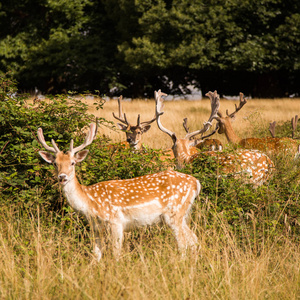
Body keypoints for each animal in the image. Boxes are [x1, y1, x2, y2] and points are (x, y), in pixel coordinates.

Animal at [38, 123, 202, 260]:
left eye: (72, 163)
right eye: (55, 163)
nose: (62, 177)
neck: (90, 202)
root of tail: (196, 183)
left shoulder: (115, 221)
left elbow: (116, 253)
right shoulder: (95, 228)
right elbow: (96, 254)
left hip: (174, 213)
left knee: (183, 244)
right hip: (182, 215)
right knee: (194, 240)